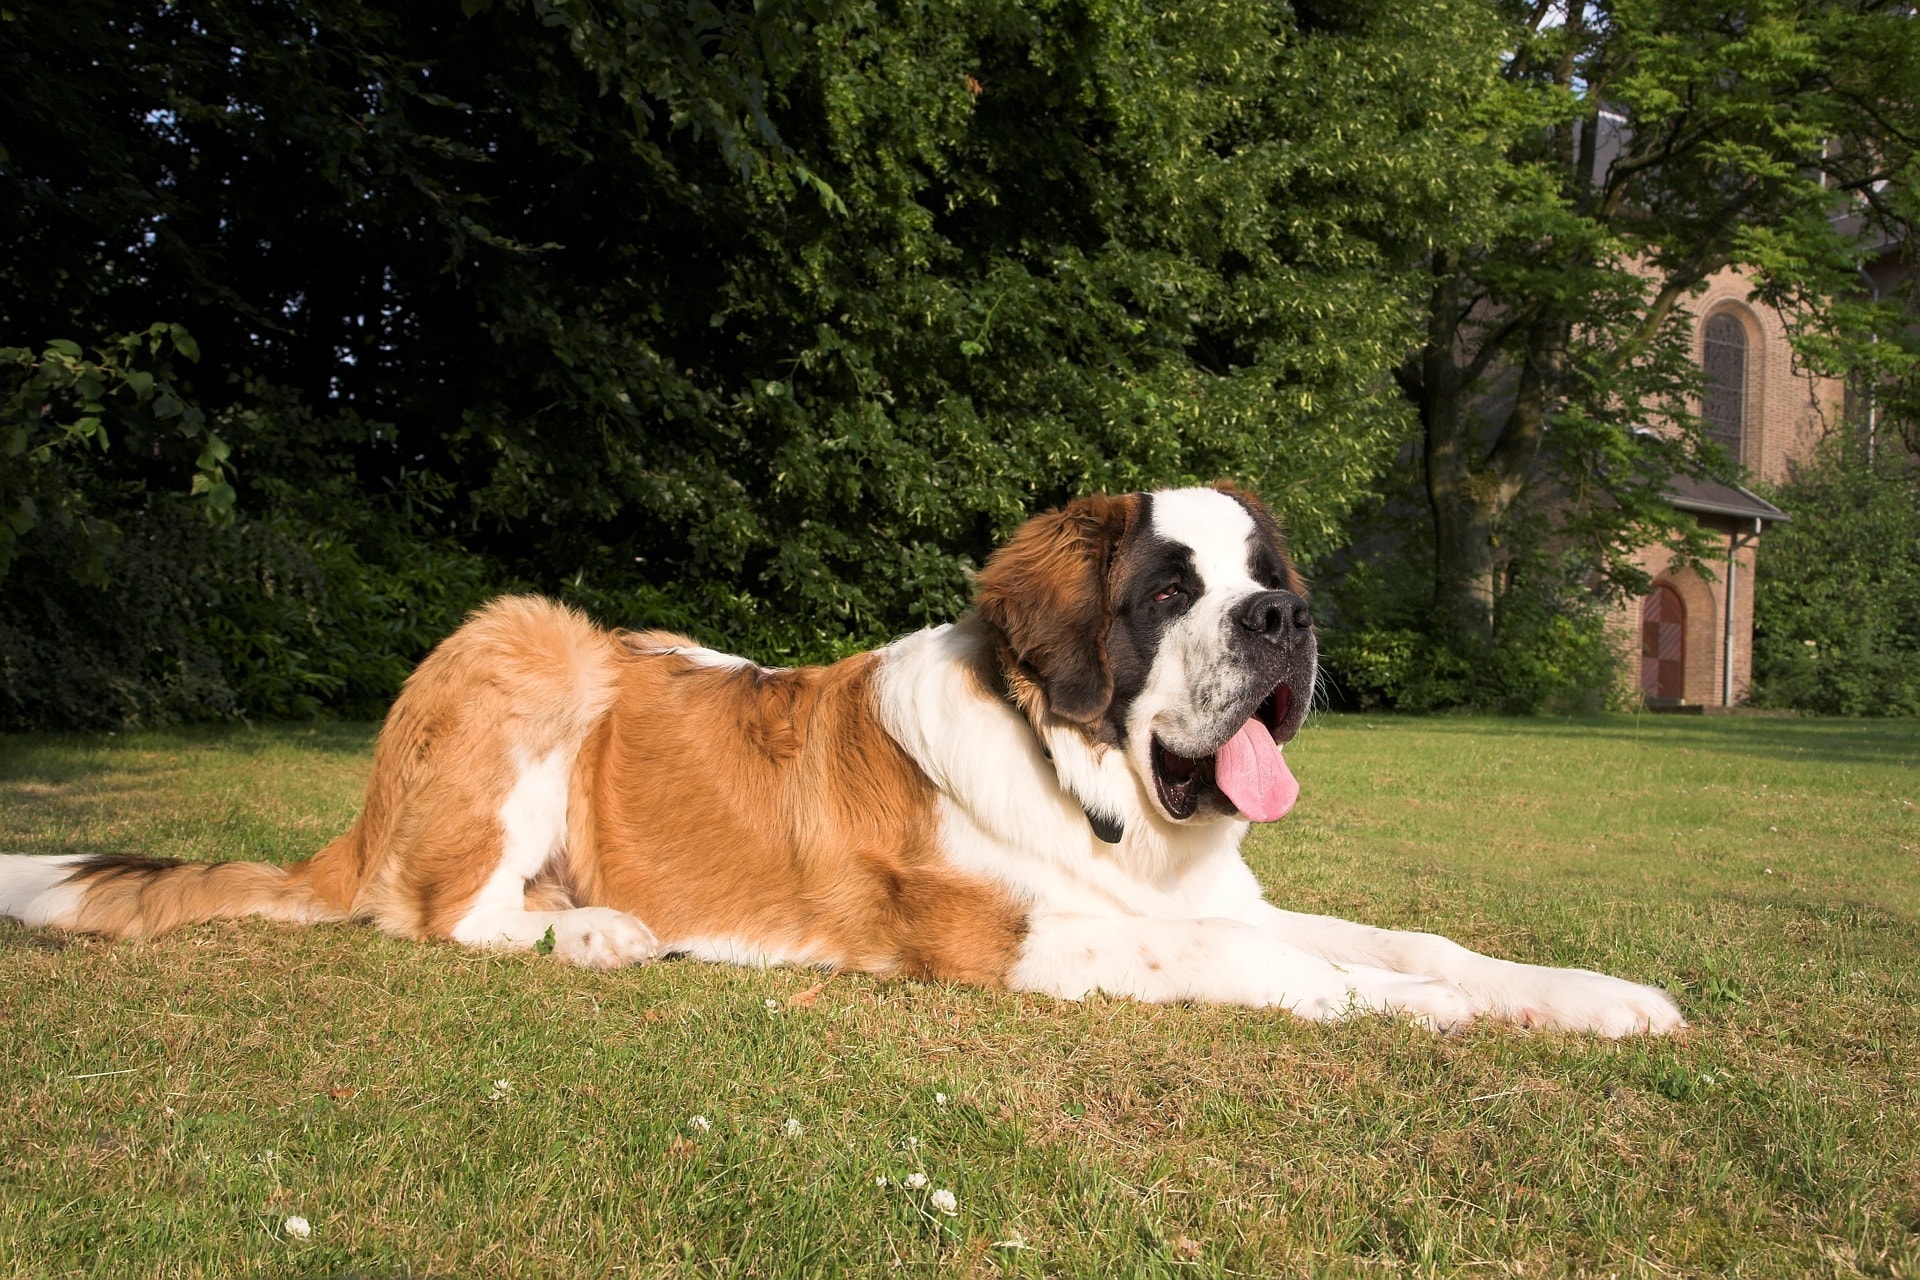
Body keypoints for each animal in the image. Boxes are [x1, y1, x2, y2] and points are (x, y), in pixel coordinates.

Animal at [0, 485, 1681, 1036]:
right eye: (1167, 591)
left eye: (1267, 574)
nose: (1288, 619)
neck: (1094, 796)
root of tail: (357, 810)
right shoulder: (1008, 936)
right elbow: (1293, 970)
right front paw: (1427, 1016)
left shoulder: (1204, 901)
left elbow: (1410, 940)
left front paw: (1595, 1000)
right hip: (538, 643)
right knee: (436, 915)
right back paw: (598, 933)